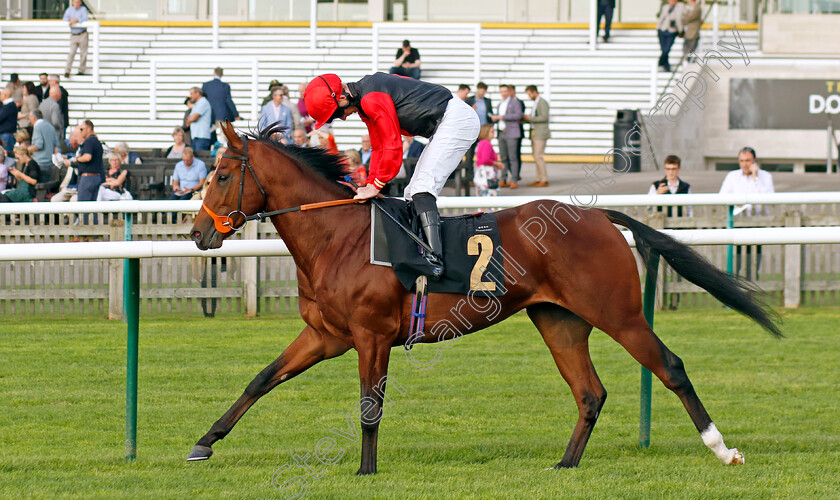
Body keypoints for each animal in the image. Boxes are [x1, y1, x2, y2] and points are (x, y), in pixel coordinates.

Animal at [187, 123, 776, 474]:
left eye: (222, 174)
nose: (198, 233)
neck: (339, 237)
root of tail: (600, 216)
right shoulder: (325, 335)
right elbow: (261, 379)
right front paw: (204, 442)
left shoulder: (371, 335)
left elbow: (370, 405)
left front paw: (365, 470)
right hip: (558, 319)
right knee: (590, 392)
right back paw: (565, 465)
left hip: (619, 313)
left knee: (670, 366)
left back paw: (723, 449)